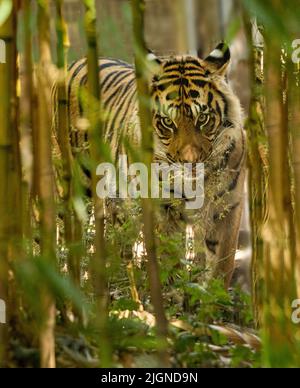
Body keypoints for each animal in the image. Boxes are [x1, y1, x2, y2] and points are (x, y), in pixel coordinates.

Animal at [55, 44, 246, 290]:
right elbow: (169, 259)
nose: (190, 161)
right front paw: (173, 294)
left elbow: (222, 264)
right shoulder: (162, 209)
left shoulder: (227, 206)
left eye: (203, 118)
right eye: (167, 122)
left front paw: (212, 294)